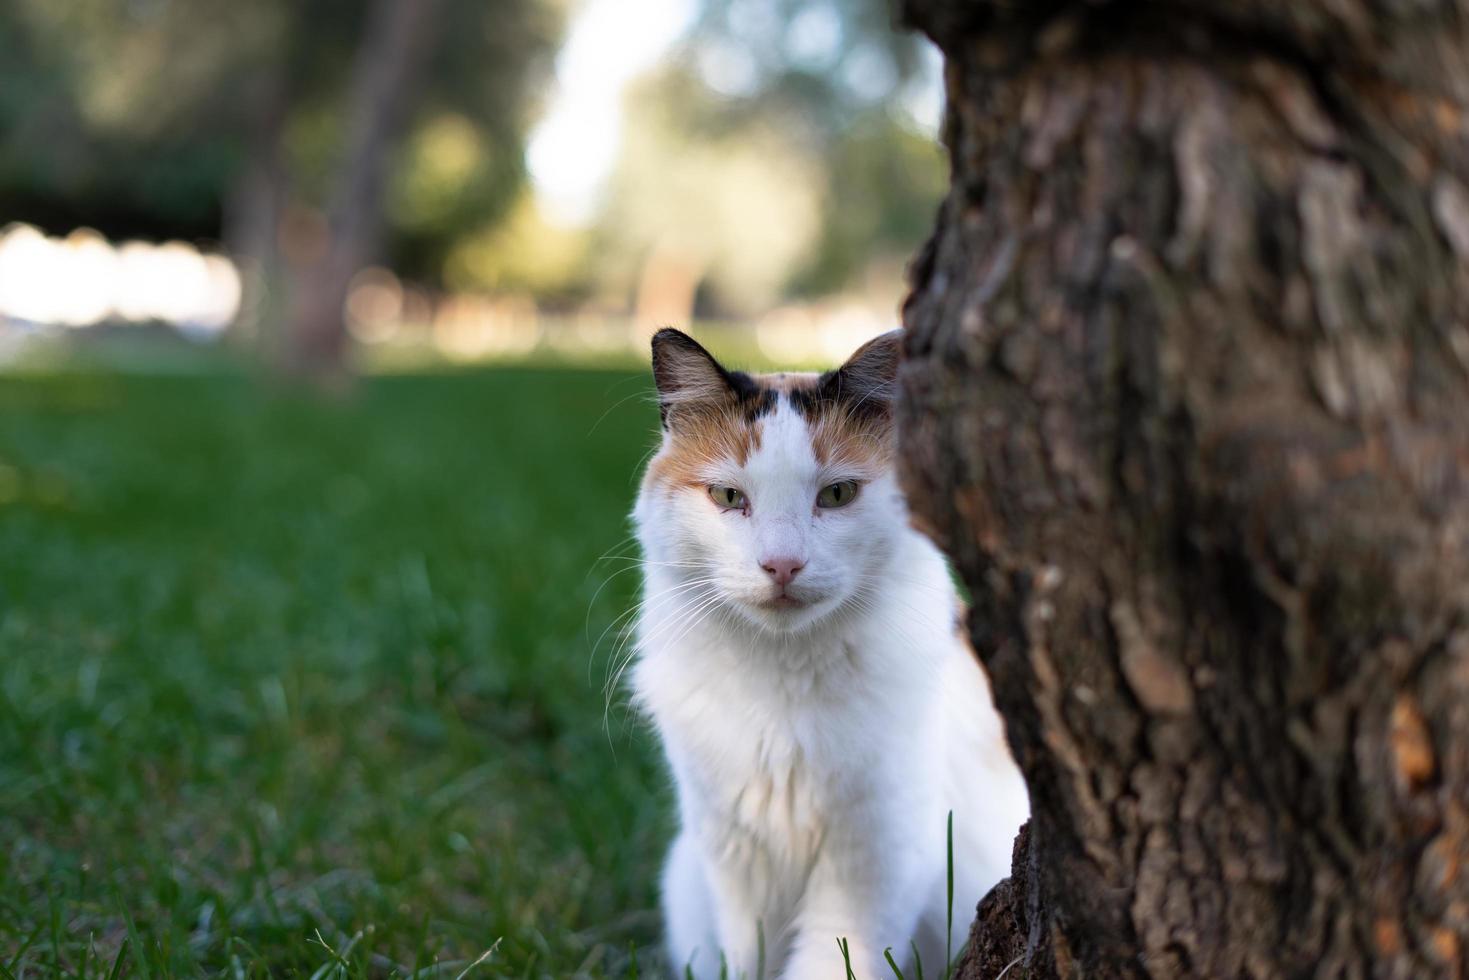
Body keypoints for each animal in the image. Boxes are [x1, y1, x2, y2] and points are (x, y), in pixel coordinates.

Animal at [631, 329, 1034, 980]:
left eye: (837, 494)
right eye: (728, 496)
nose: (781, 565)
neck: (783, 687)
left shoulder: (878, 860)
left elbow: (827, 960)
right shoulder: (736, 861)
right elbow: (750, 959)